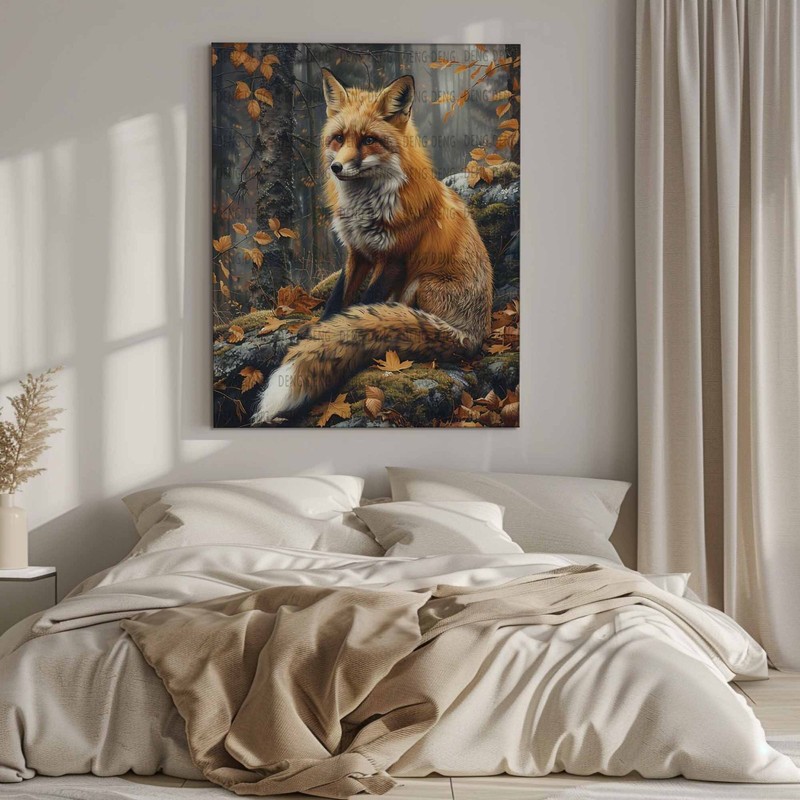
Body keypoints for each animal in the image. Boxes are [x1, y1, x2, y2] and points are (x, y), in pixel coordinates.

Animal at [252, 68, 493, 424]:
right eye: (338, 138)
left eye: (369, 140)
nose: (337, 167)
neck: (365, 207)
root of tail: (474, 336)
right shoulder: (357, 253)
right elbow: (338, 299)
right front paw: (322, 329)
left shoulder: (394, 259)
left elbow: (365, 303)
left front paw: (342, 332)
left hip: (422, 283)